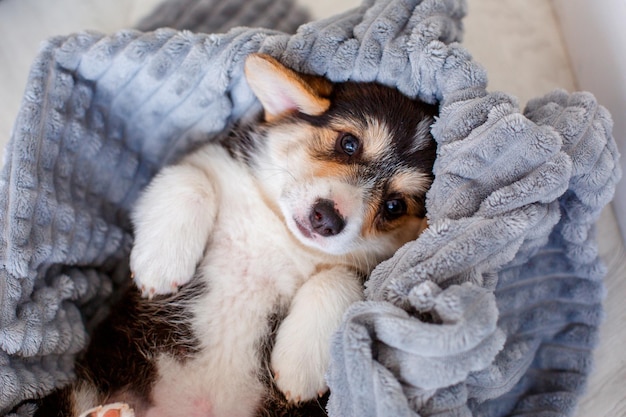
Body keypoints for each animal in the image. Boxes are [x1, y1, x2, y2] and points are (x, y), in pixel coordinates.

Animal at [33, 52, 434, 416]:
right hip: (86, 381)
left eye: (394, 206)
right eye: (349, 144)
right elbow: (190, 179)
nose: (326, 219)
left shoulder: (370, 269)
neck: (279, 229)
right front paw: (161, 263)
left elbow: (340, 276)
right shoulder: (208, 160)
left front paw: (300, 365)